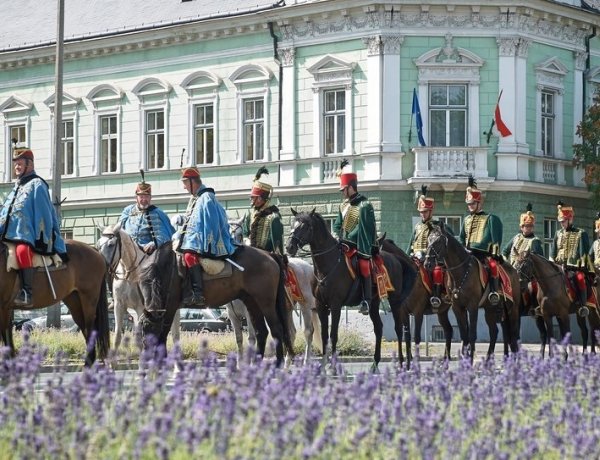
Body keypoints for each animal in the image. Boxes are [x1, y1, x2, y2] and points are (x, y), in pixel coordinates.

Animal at [97, 224, 294, 366]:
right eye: (98, 245)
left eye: (111, 244)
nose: (104, 268)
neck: (166, 268)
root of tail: (269, 255)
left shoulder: (169, 307)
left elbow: (165, 334)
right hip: (251, 301)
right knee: (262, 331)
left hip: (265, 302)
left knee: (276, 329)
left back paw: (277, 364)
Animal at [284, 208, 414, 370]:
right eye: (292, 225)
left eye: (306, 226)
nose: (289, 246)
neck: (328, 266)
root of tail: (395, 259)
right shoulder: (321, 306)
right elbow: (324, 335)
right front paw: (324, 365)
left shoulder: (336, 305)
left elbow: (333, 334)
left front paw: (333, 366)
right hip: (374, 303)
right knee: (378, 328)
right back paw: (375, 363)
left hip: (395, 301)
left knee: (398, 328)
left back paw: (402, 363)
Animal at [422, 223, 520, 360]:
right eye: (428, 240)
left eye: (439, 241)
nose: (427, 264)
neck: (461, 272)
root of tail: (513, 270)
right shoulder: (457, 307)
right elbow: (464, 334)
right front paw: (465, 358)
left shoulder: (472, 306)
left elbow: (472, 334)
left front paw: (471, 358)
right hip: (491, 309)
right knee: (495, 331)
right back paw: (490, 358)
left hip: (513, 308)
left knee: (513, 333)